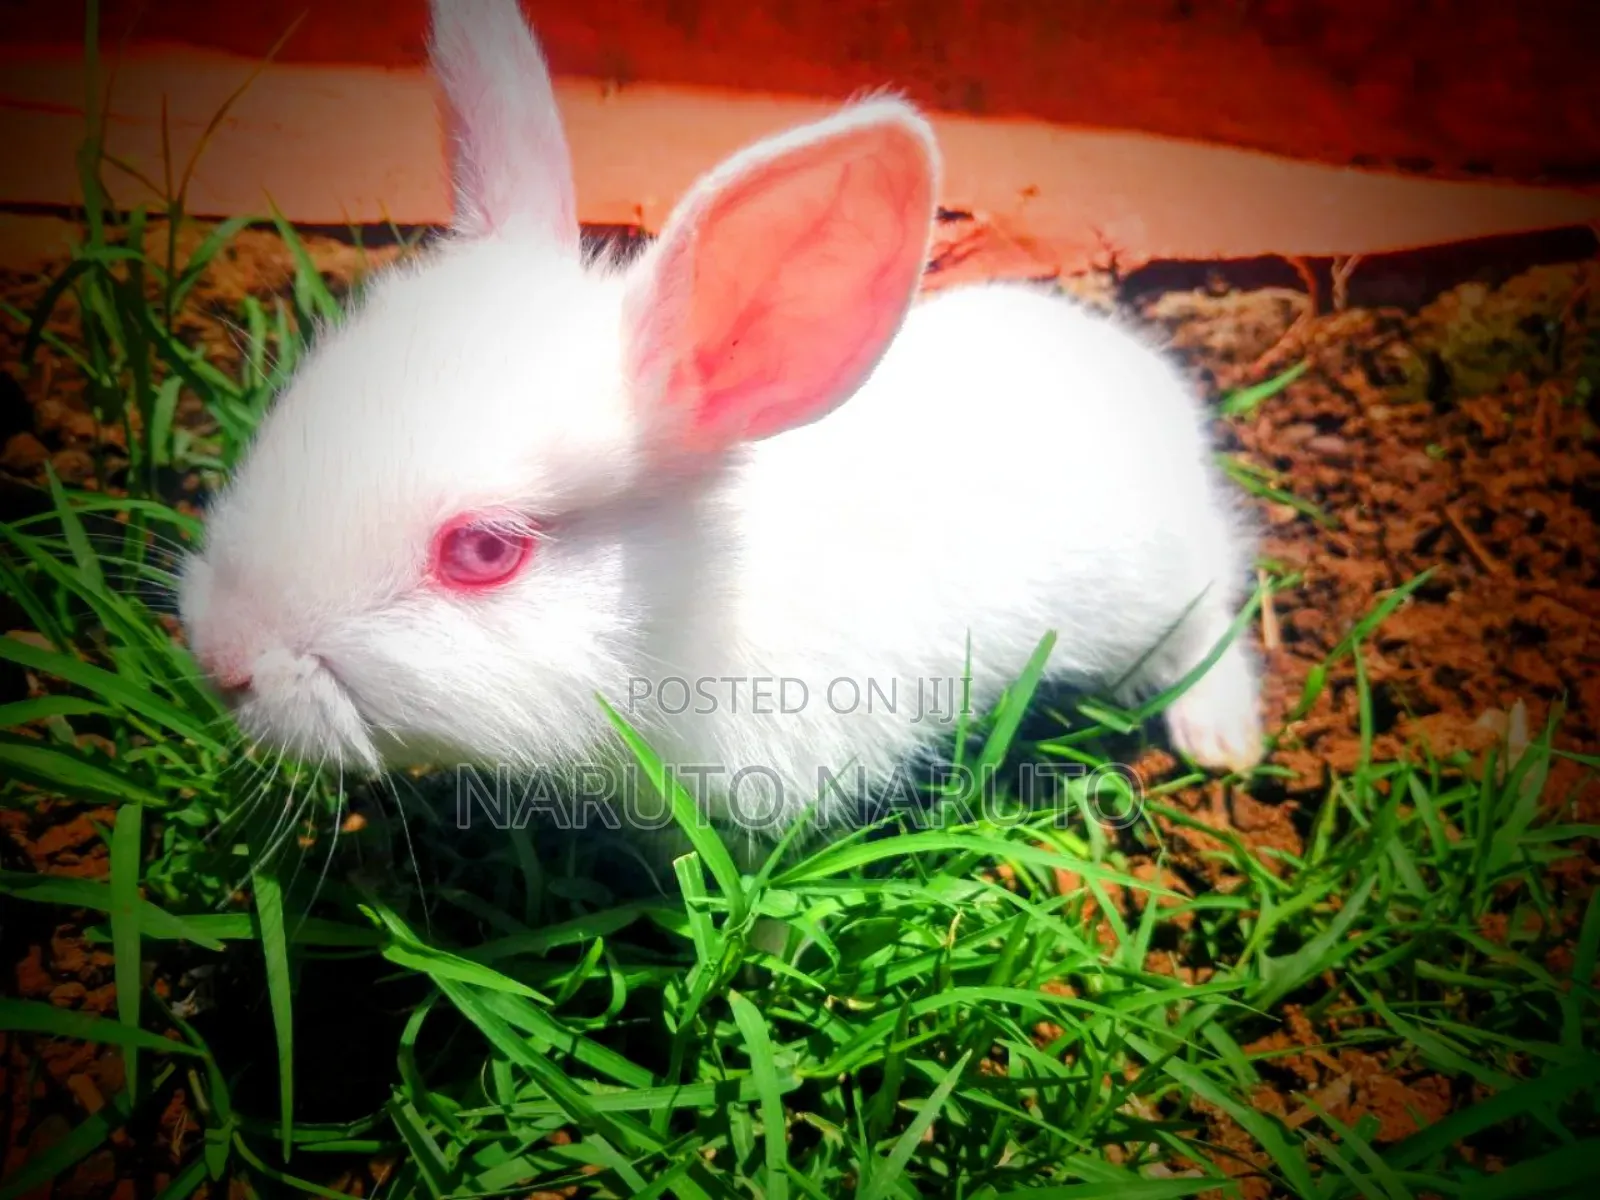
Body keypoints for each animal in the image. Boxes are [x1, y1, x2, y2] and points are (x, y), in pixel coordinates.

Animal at [176, 0, 1265, 869]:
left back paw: (1223, 739)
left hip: (1152, 594)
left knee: (1212, 621)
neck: (684, 608)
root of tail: (1147, 386)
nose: (220, 660)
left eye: (483, 551)